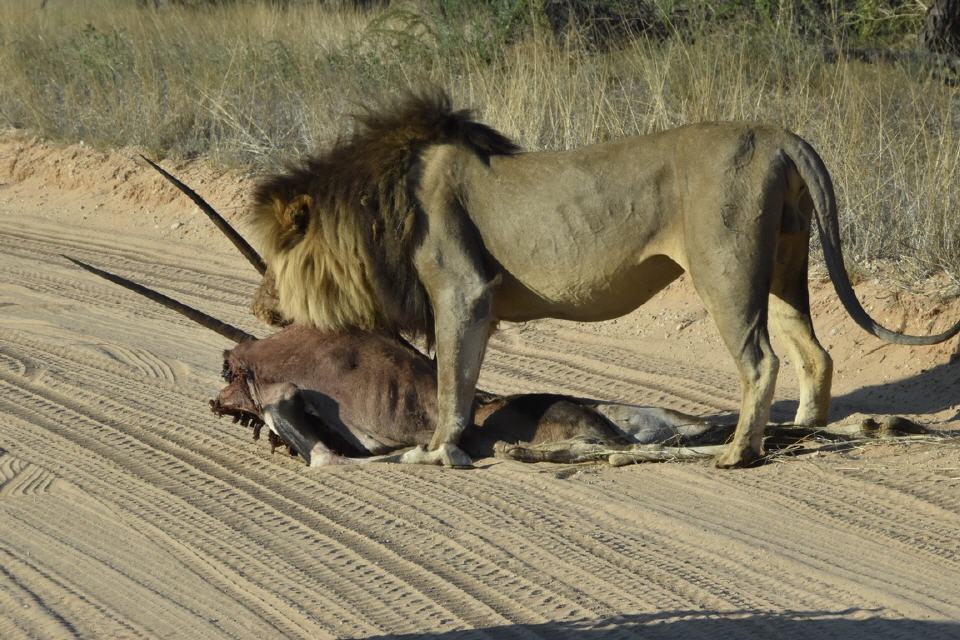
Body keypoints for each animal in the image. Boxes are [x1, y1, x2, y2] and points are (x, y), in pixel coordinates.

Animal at [249, 90, 960, 468]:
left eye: (271, 257)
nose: (259, 307)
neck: (378, 203)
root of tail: (778, 135)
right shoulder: (471, 301)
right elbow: (463, 379)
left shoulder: (462, 289)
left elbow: (454, 381)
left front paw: (437, 452)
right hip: (786, 261)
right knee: (815, 353)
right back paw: (803, 431)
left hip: (725, 268)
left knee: (761, 361)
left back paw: (738, 452)